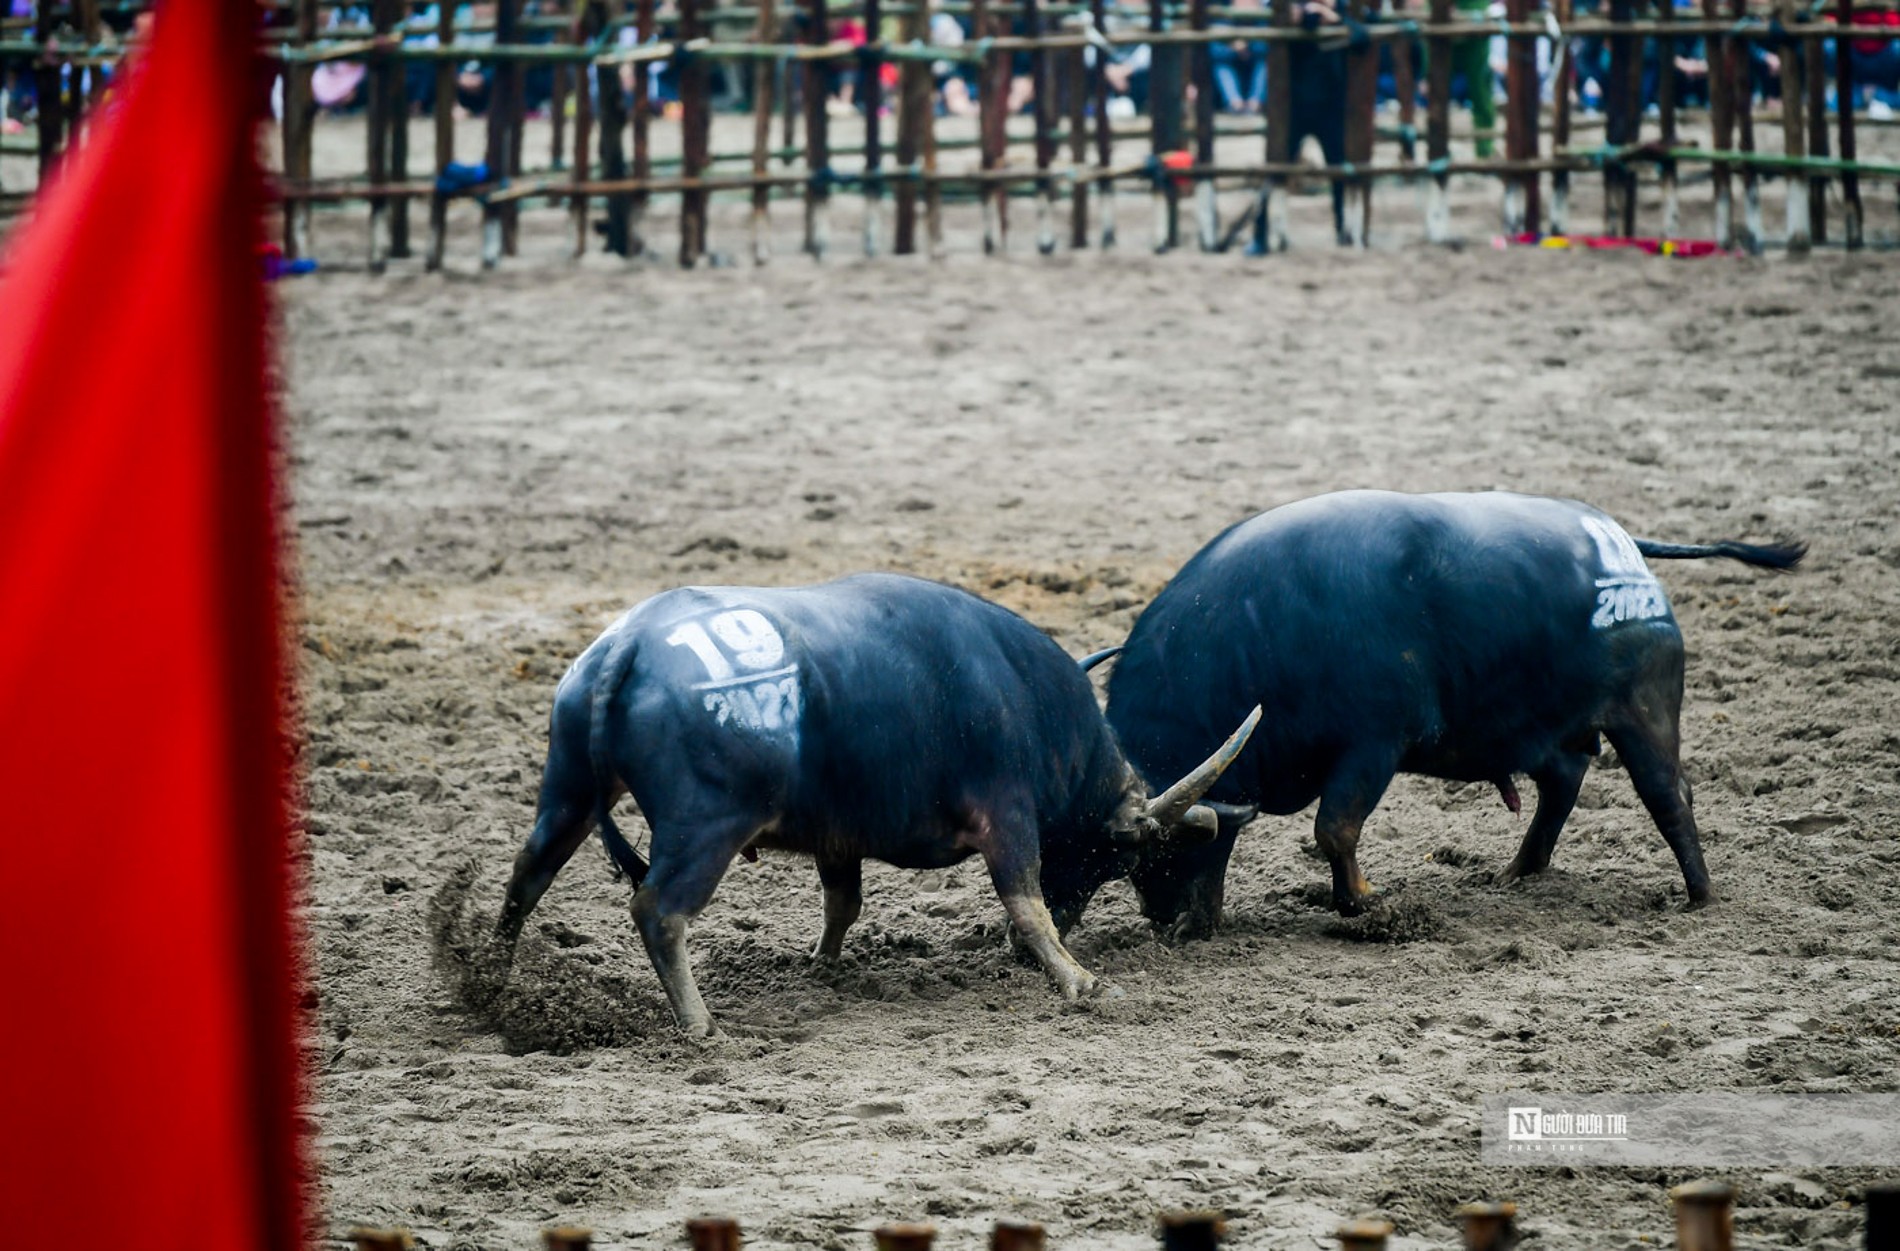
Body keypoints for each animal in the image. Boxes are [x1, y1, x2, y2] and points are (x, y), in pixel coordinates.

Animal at [497, 570, 1254, 1026]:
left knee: (527, 875)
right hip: (705, 826)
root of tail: (626, 647)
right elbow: (1027, 900)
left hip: (567, 792)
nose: (1168, 918)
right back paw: (700, 1023)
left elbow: (844, 902)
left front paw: (822, 966)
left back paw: (493, 978)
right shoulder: (1008, 816)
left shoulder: (838, 836)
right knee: (658, 910)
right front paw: (1076, 977)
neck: (1018, 696)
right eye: (1118, 857)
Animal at [1094, 486, 1801, 935]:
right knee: (1565, 778)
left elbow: (1334, 830)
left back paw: (1700, 897)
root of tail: (1623, 545)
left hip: (1644, 708)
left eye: (1169, 847)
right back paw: (1518, 872)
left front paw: (1364, 904)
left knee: (1668, 793)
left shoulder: (1372, 745)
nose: (1164, 919)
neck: (1262, 633)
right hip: (1537, 726)